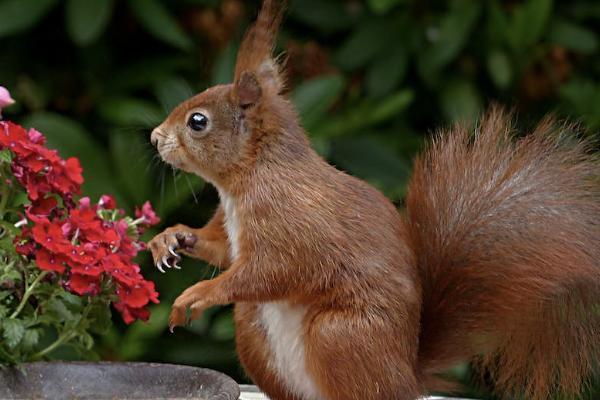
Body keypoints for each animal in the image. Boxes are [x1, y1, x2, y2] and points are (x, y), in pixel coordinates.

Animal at [148, 1, 596, 398]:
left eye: (198, 122)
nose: (154, 137)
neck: (248, 179)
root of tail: (408, 377)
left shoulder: (292, 221)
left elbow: (271, 271)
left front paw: (199, 294)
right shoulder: (232, 228)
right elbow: (222, 249)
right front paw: (171, 238)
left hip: (340, 336)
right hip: (254, 328)